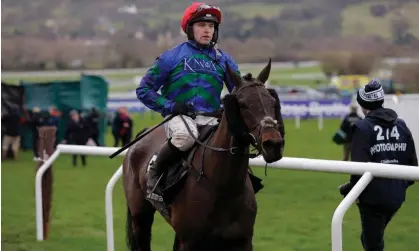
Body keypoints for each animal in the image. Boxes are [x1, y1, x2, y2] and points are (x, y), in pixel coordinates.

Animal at [121, 59, 286, 251]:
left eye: (272, 101)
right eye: (243, 103)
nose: (273, 144)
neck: (224, 187)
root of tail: (142, 135)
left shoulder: (242, 240)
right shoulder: (190, 241)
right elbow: (144, 88)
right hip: (140, 217)